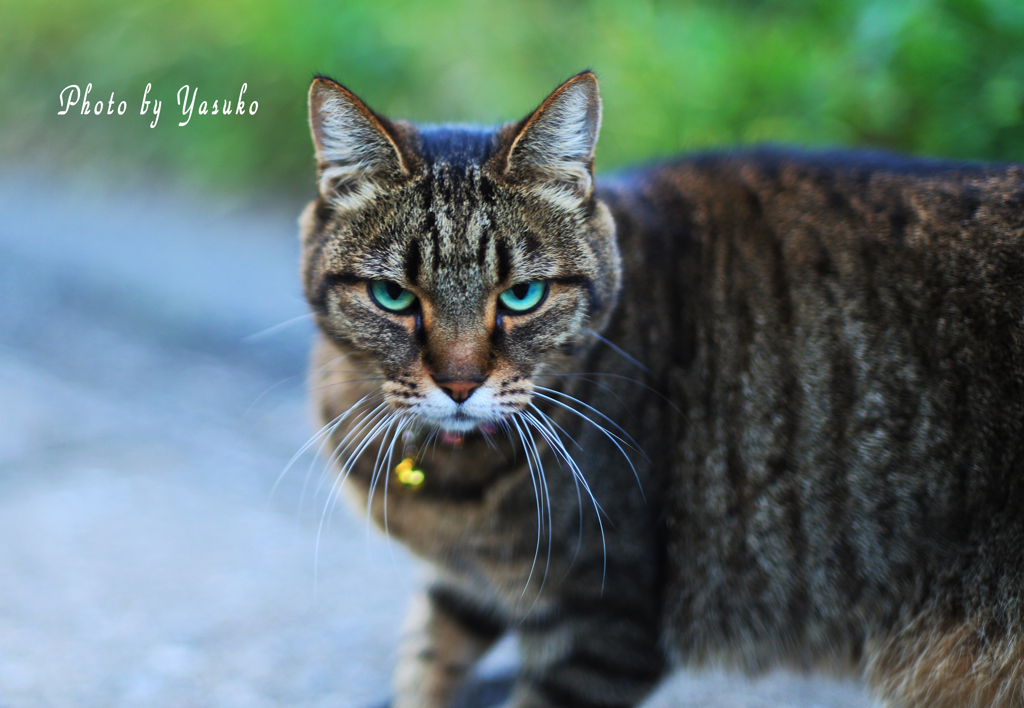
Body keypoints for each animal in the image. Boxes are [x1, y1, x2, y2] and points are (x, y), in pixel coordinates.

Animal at [299, 73, 1024, 708]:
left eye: (522, 295)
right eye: (394, 296)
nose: (458, 384)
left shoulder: (604, 622)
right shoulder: (469, 588)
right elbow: (425, 664)